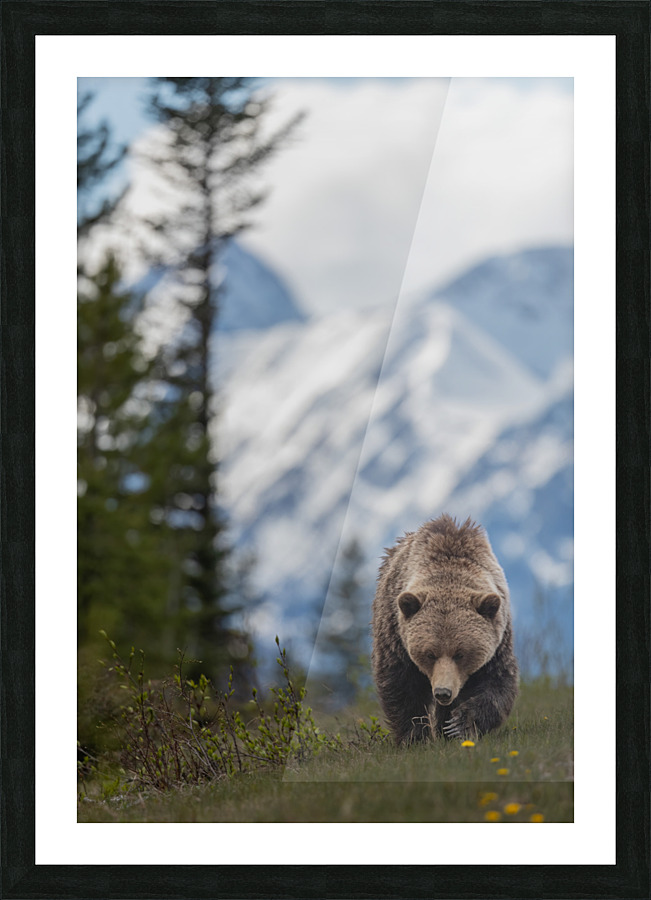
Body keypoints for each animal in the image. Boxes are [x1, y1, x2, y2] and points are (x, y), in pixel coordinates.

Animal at [371, 514, 519, 744]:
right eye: (430, 654)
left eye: (461, 654)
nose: (443, 693)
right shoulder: (396, 636)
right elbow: (401, 685)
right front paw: (415, 737)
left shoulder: (498, 642)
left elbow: (496, 683)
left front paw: (458, 725)